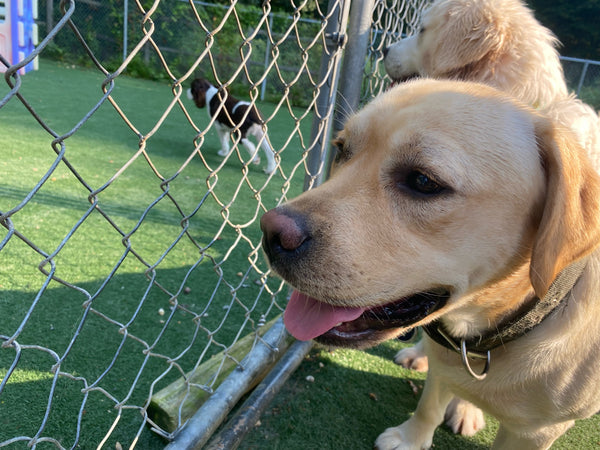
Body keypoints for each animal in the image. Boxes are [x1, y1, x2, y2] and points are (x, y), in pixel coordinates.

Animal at [264, 79, 600, 448]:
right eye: (341, 149)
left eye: (424, 181)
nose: (271, 233)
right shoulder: (445, 369)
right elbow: (429, 407)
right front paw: (411, 438)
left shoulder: (536, 432)